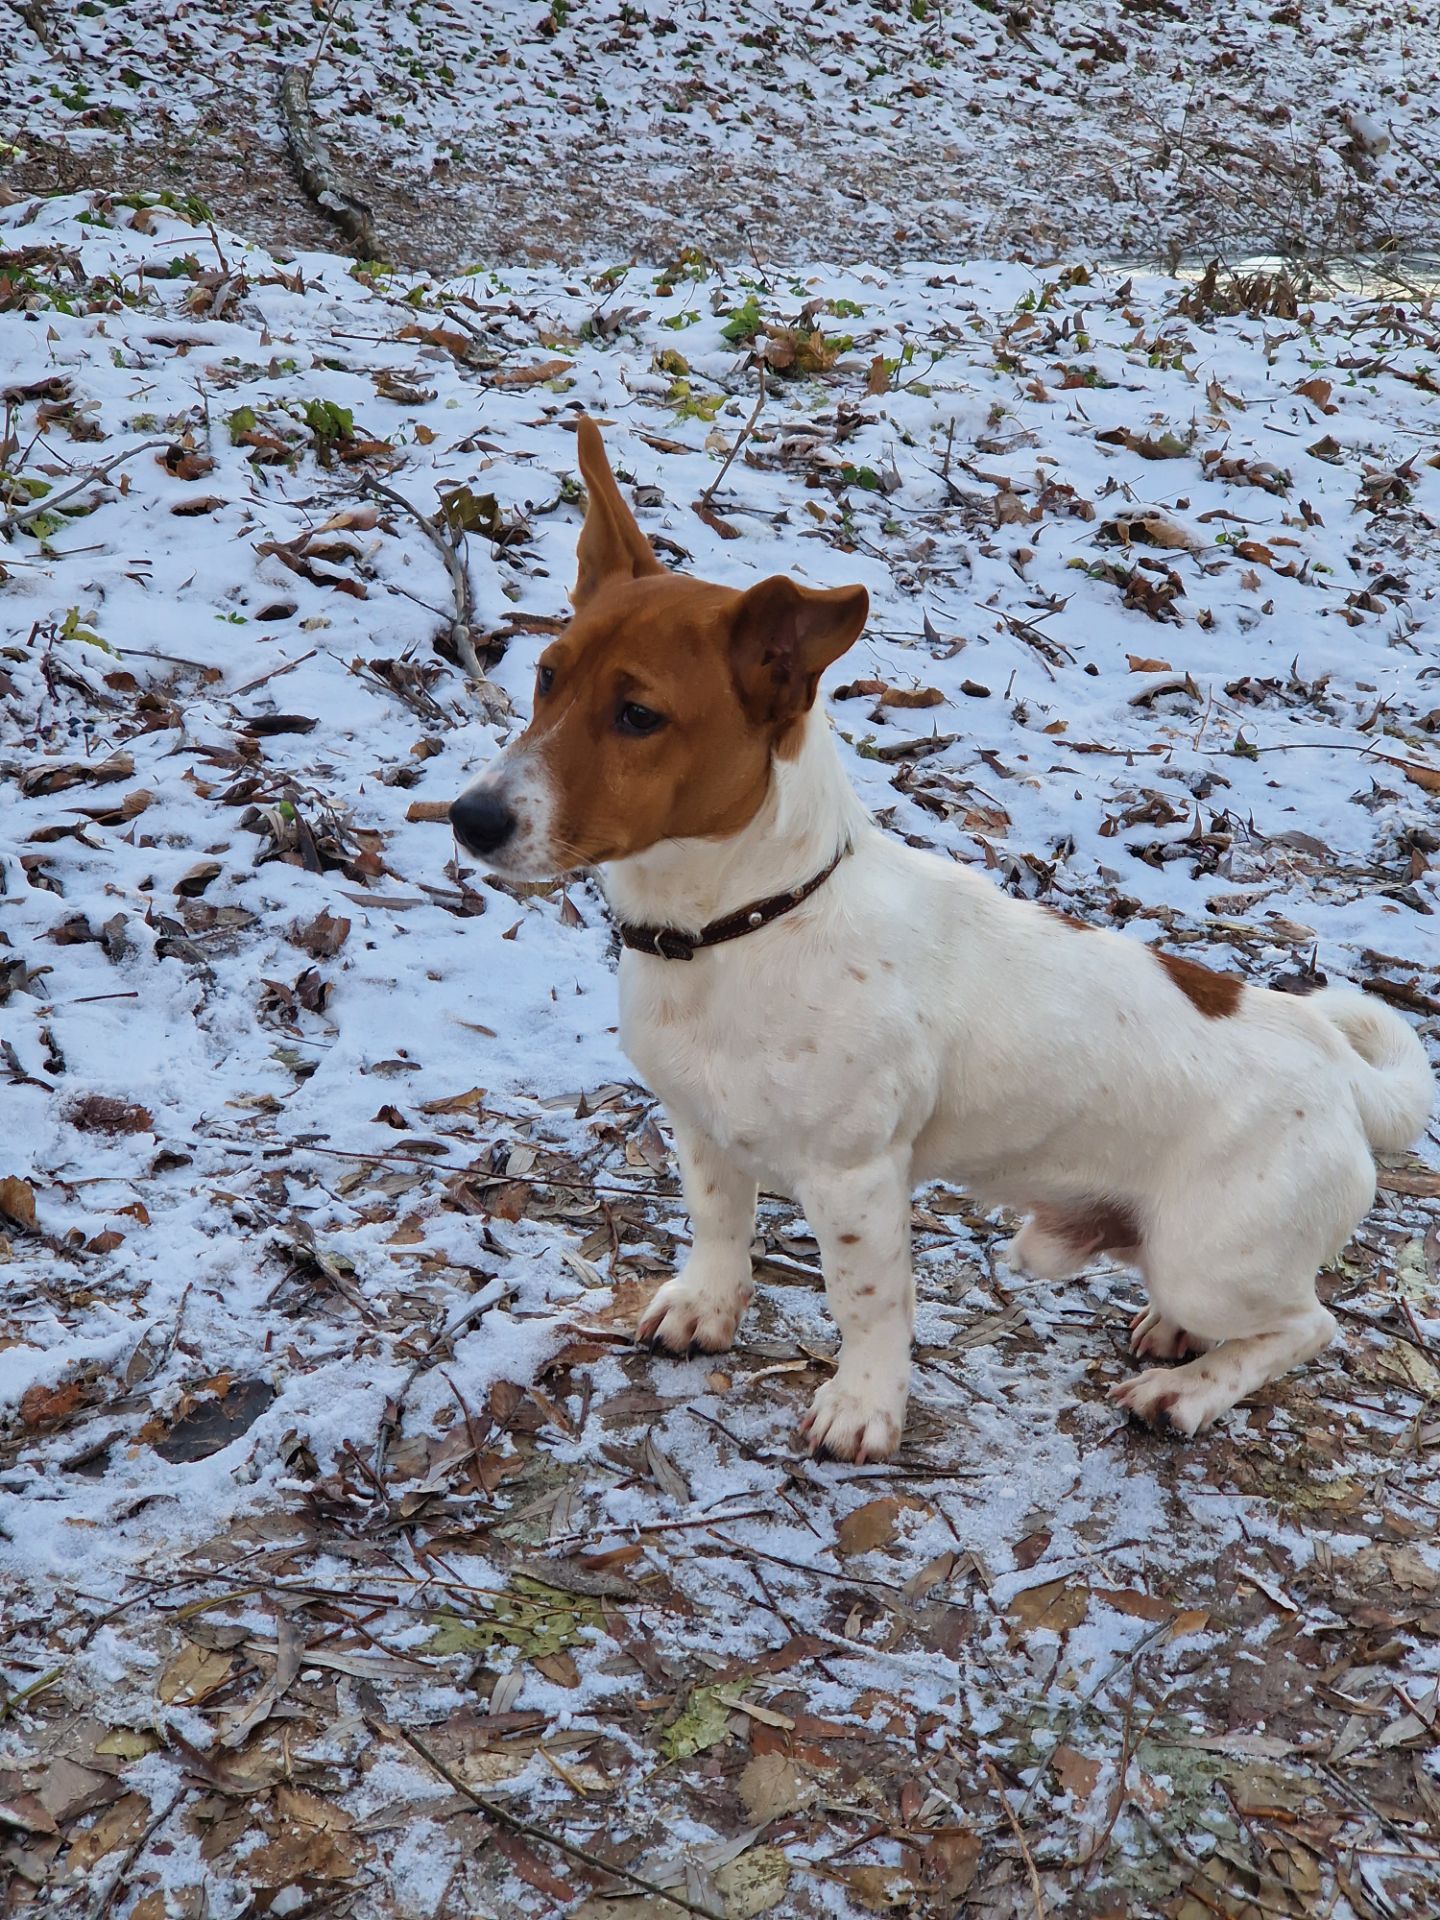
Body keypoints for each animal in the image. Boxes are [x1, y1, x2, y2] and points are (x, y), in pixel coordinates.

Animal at [449, 420, 1436, 1459]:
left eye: (638, 715)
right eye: (546, 676)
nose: (469, 819)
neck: (741, 928)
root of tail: (1341, 1072)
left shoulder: (856, 1182)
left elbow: (869, 1304)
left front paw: (863, 1407)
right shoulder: (702, 1129)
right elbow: (719, 1228)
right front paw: (706, 1308)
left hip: (1209, 1256)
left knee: (1306, 1325)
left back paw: (1190, 1391)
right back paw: (1177, 1341)